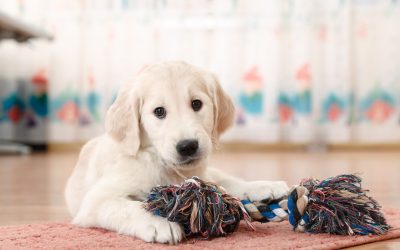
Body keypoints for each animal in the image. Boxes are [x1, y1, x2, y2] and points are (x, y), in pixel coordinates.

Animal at [66, 61, 290, 244]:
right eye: (159, 111)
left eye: (196, 104)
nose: (188, 146)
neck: (158, 160)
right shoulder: (96, 201)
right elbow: (130, 207)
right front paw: (159, 223)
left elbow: (224, 185)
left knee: (225, 180)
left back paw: (266, 186)